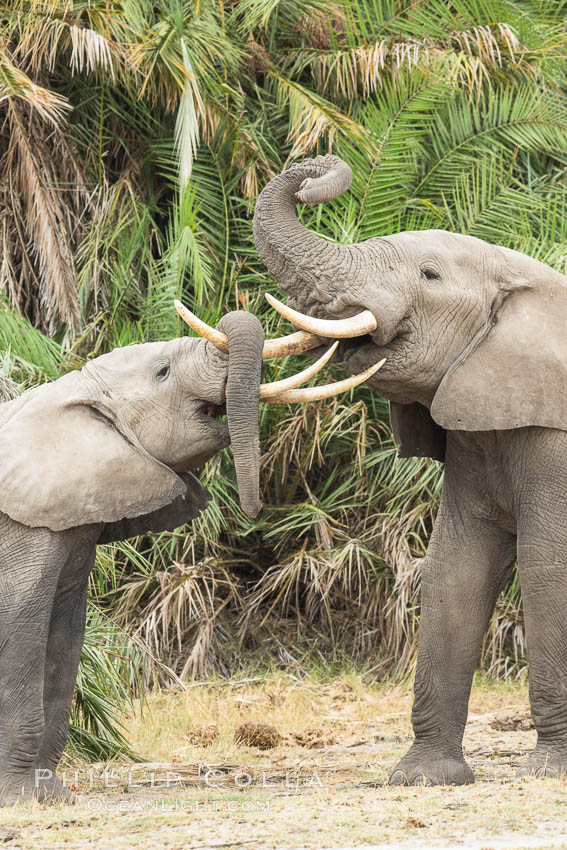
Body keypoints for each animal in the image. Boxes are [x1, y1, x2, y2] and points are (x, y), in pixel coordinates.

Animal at [254, 152, 567, 780]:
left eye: (428, 275)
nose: (309, 180)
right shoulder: (474, 433)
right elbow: (452, 571)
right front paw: (423, 777)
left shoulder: (555, 439)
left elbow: (547, 567)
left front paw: (548, 771)